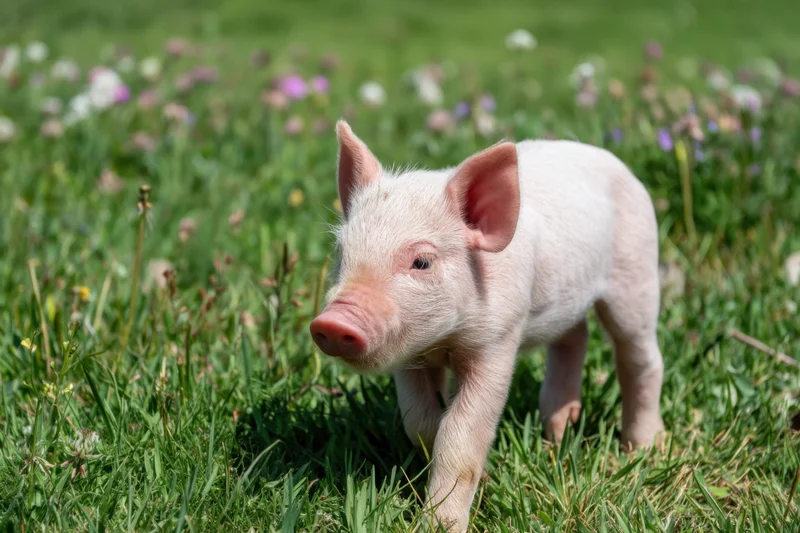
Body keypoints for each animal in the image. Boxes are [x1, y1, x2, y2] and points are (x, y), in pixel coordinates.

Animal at [310, 121, 665, 532]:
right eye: (342, 253)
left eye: (422, 262)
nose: (333, 321)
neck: (446, 341)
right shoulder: (411, 357)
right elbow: (420, 422)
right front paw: (483, 474)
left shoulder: (498, 339)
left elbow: (460, 435)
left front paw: (440, 525)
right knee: (575, 336)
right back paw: (557, 434)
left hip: (636, 272)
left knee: (641, 358)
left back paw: (642, 449)